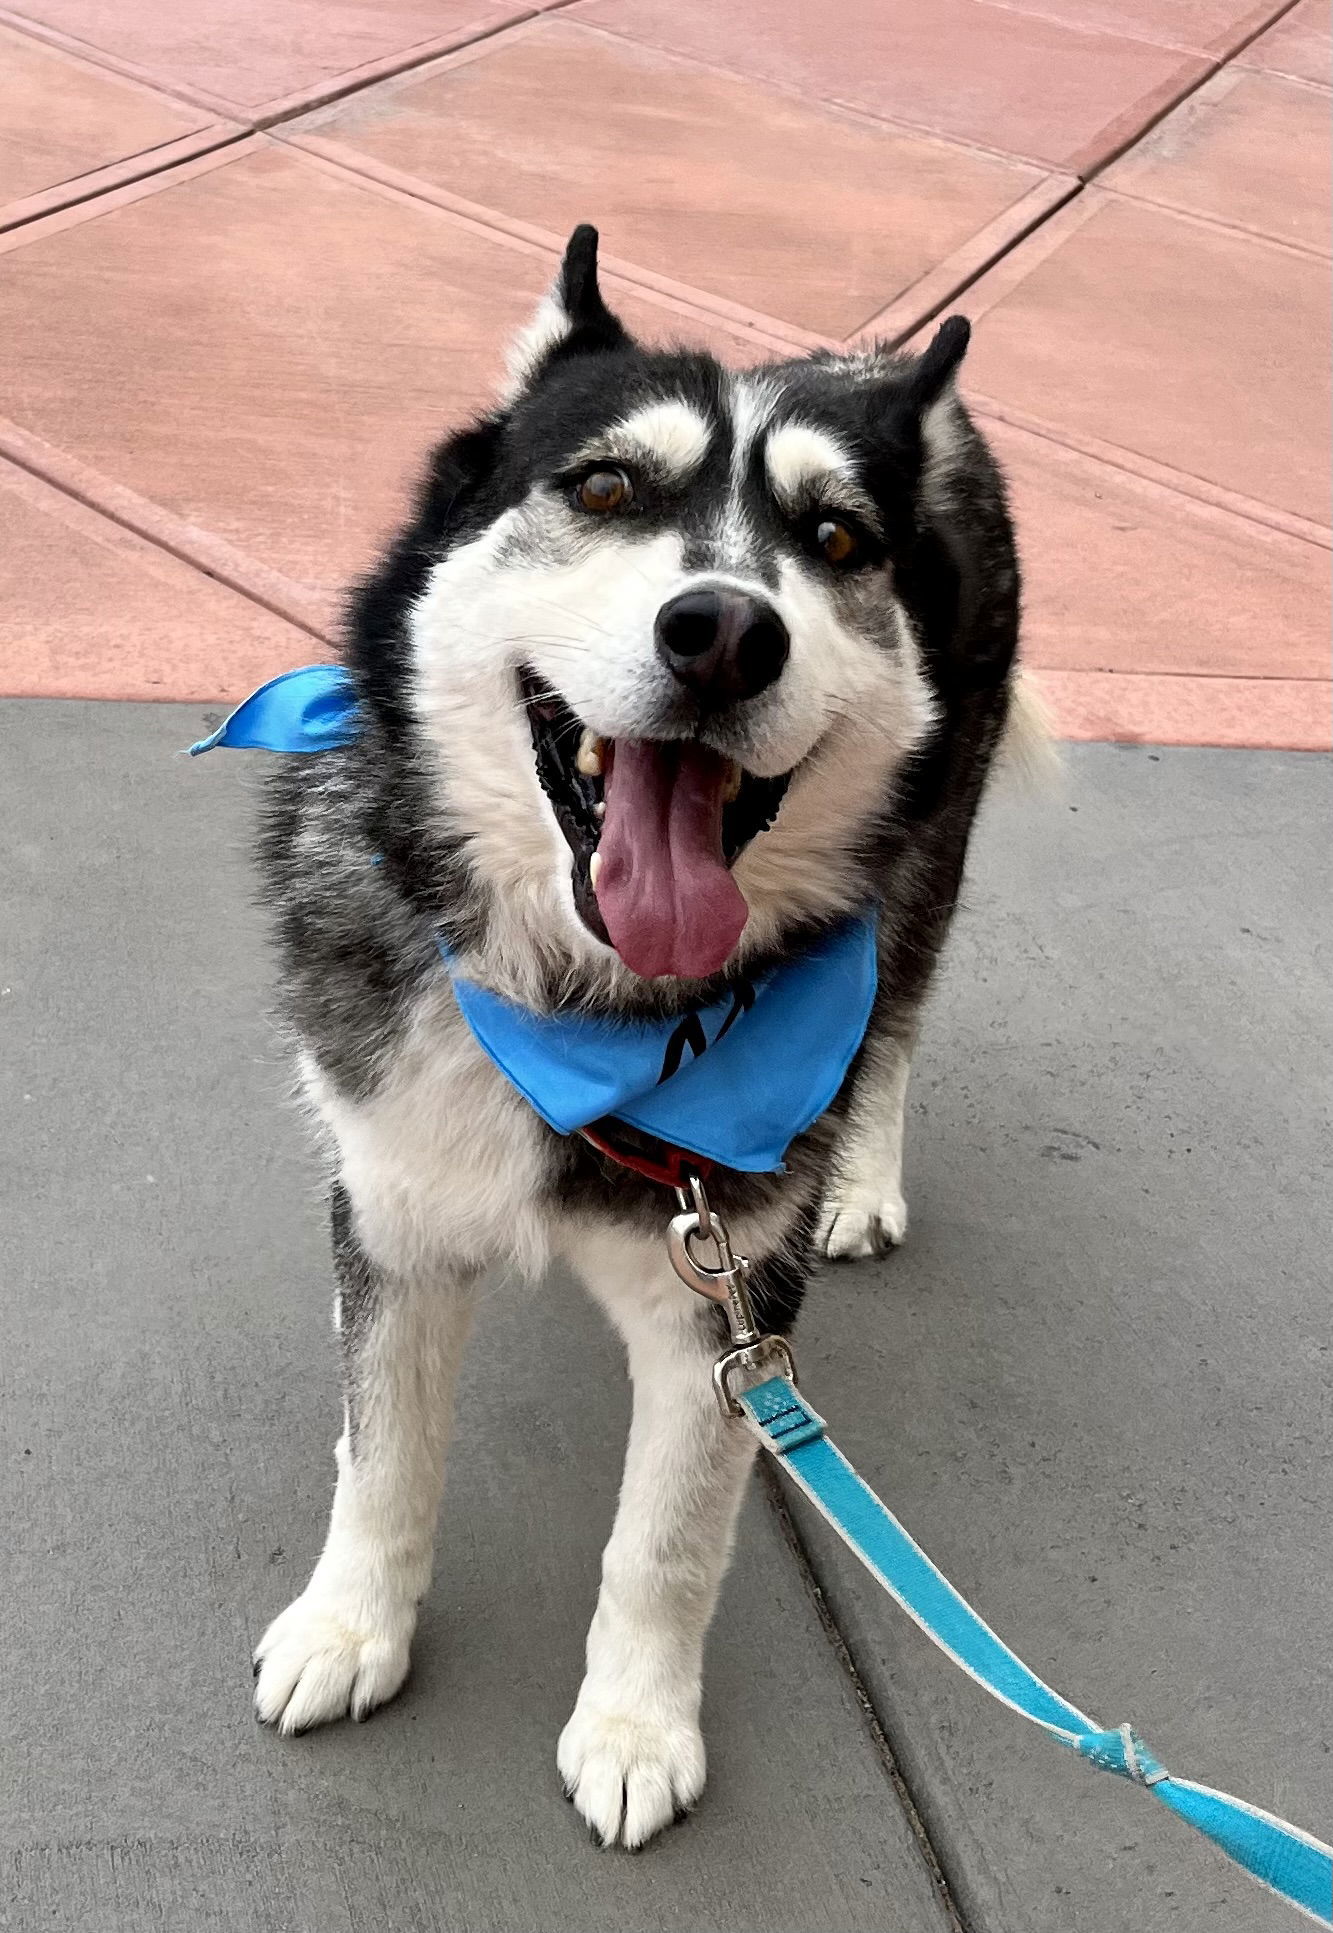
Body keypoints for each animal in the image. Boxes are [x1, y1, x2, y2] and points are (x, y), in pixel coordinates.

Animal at [246, 222, 1020, 1840]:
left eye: (834, 539)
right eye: (604, 487)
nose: (724, 630)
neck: (587, 1013)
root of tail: (882, 362)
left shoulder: (724, 1306)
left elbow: (662, 1539)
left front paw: (634, 1726)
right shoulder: (391, 1206)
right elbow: (381, 1453)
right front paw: (352, 1627)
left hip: (930, 858)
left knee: (897, 1019)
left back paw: (867, 1177)